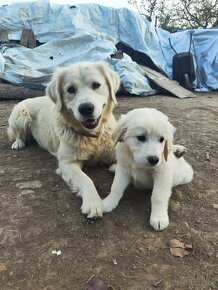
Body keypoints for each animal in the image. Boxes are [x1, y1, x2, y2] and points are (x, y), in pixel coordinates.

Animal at [7, 61, 120, 220]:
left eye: (96, 85)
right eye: (70, 89)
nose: (86, 108)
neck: (91, 136)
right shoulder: (67, 163)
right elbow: (86, 180)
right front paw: (93, 203)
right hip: (20, 114)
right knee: (18, 133)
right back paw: (18, 142)